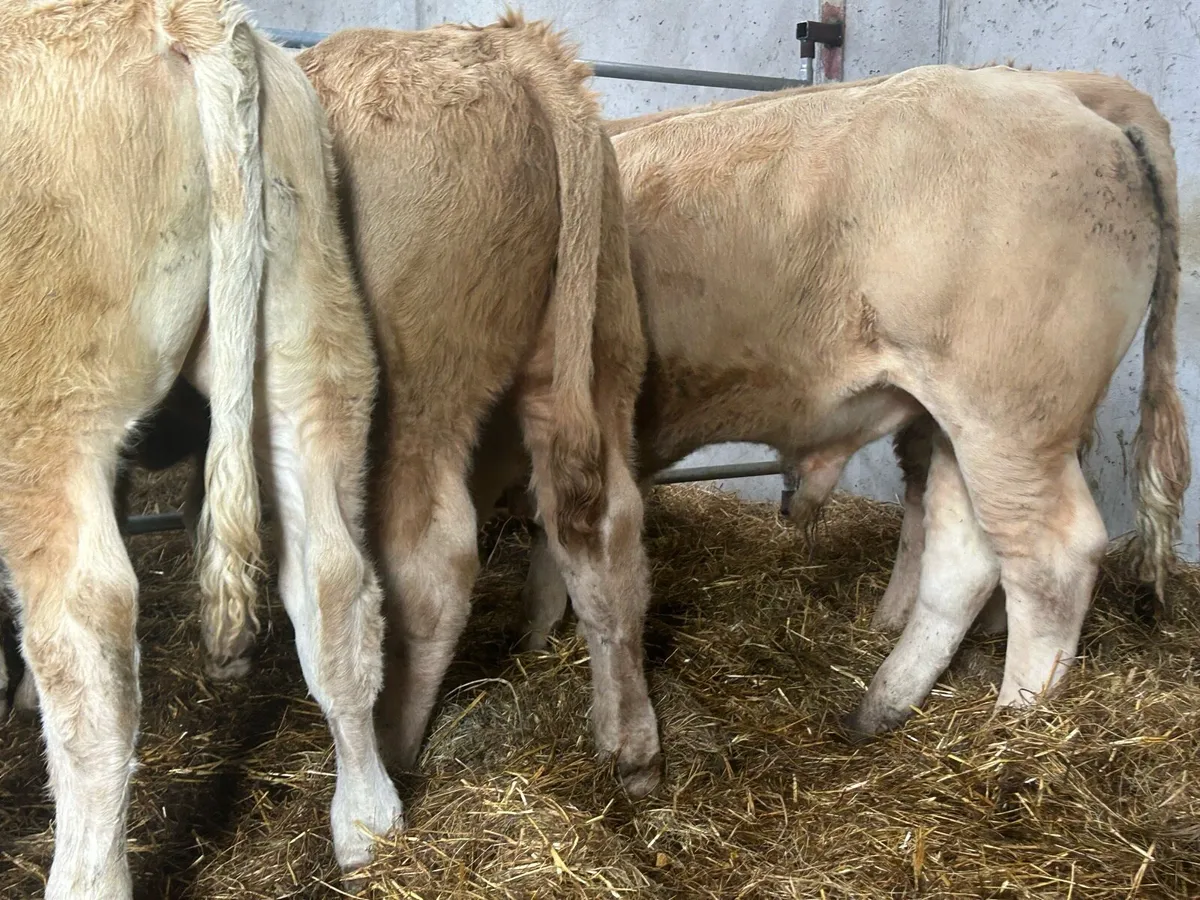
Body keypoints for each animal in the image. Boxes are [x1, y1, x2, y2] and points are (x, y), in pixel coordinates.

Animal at [0, 2, 400, 896]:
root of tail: (187, 19)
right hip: (310, 335)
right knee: (335, 579)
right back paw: (368, 823)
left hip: (42, 413)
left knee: (89, 638)